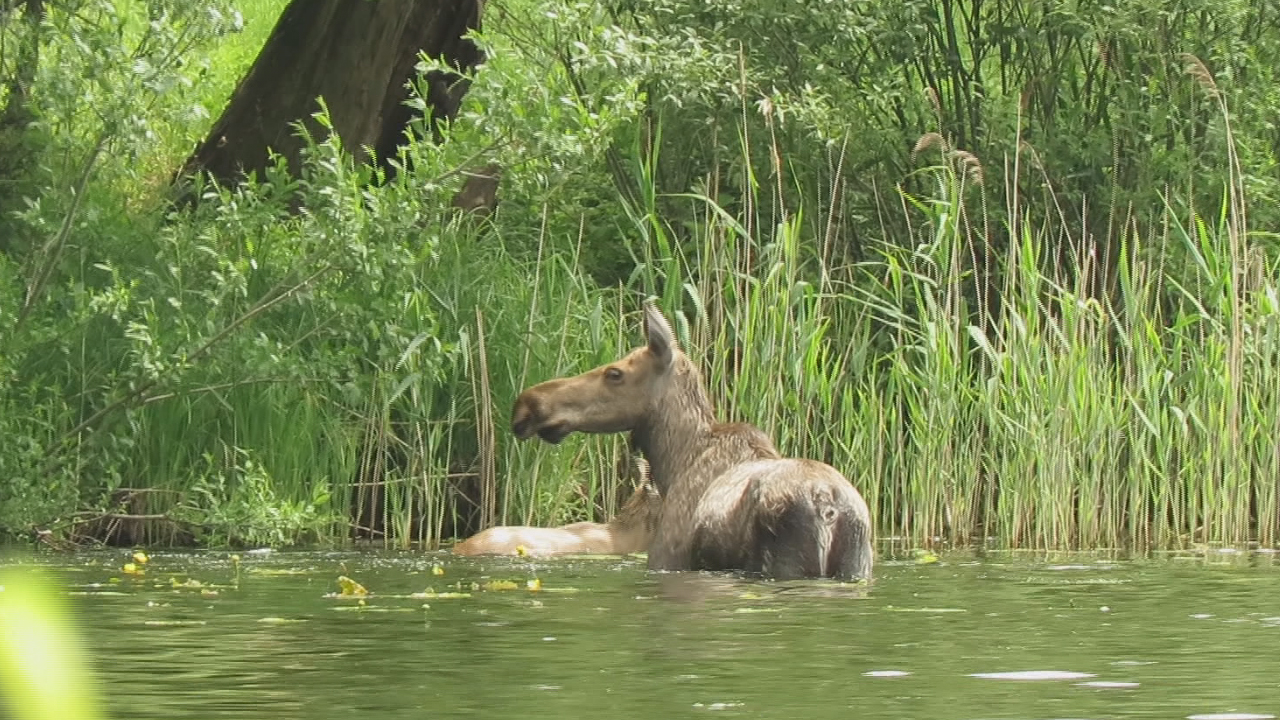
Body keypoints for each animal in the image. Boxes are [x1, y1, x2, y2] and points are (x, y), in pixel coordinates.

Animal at [509, 297, 870, 576]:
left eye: (614, 373)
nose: (527, 403)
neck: (674, 462)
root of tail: (827, 506)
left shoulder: (666, 557)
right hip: (856, 565)